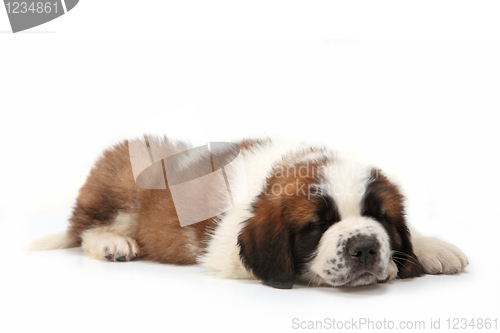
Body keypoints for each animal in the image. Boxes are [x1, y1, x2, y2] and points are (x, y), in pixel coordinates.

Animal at [29, 136, 468, 286]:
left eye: (380, 218)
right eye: (317, 226)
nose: (364, 248)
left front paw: (433, 248)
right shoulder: (222, 247)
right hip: (120, 187)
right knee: (87, 229)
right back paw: (113, 243)